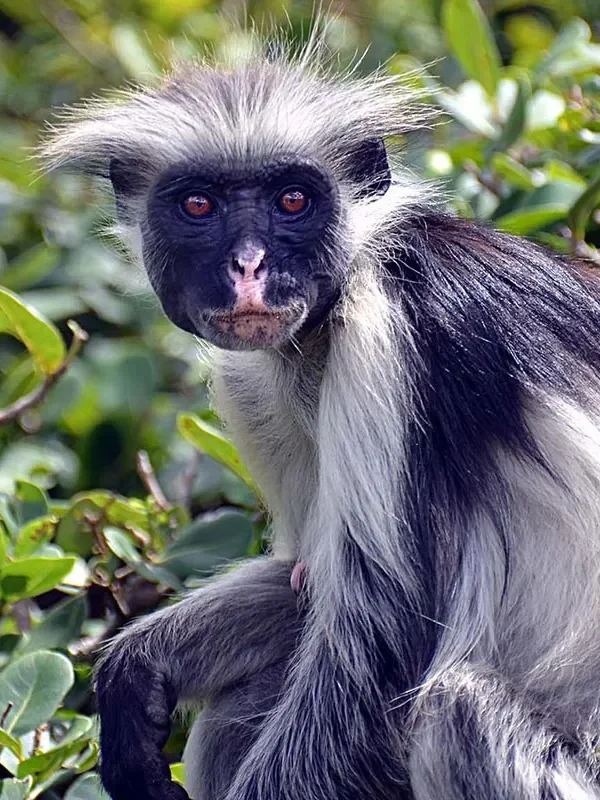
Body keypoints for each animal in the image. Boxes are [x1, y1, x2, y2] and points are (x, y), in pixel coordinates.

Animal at [43, 31, 600, 800]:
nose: (249, 267)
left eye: (293, 199)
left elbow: (378, 655)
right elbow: (305, 582)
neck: (324, 332)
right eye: (198, 205)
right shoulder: (255, 381)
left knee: (456, 712)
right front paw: (135, 670)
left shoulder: (394, 335)